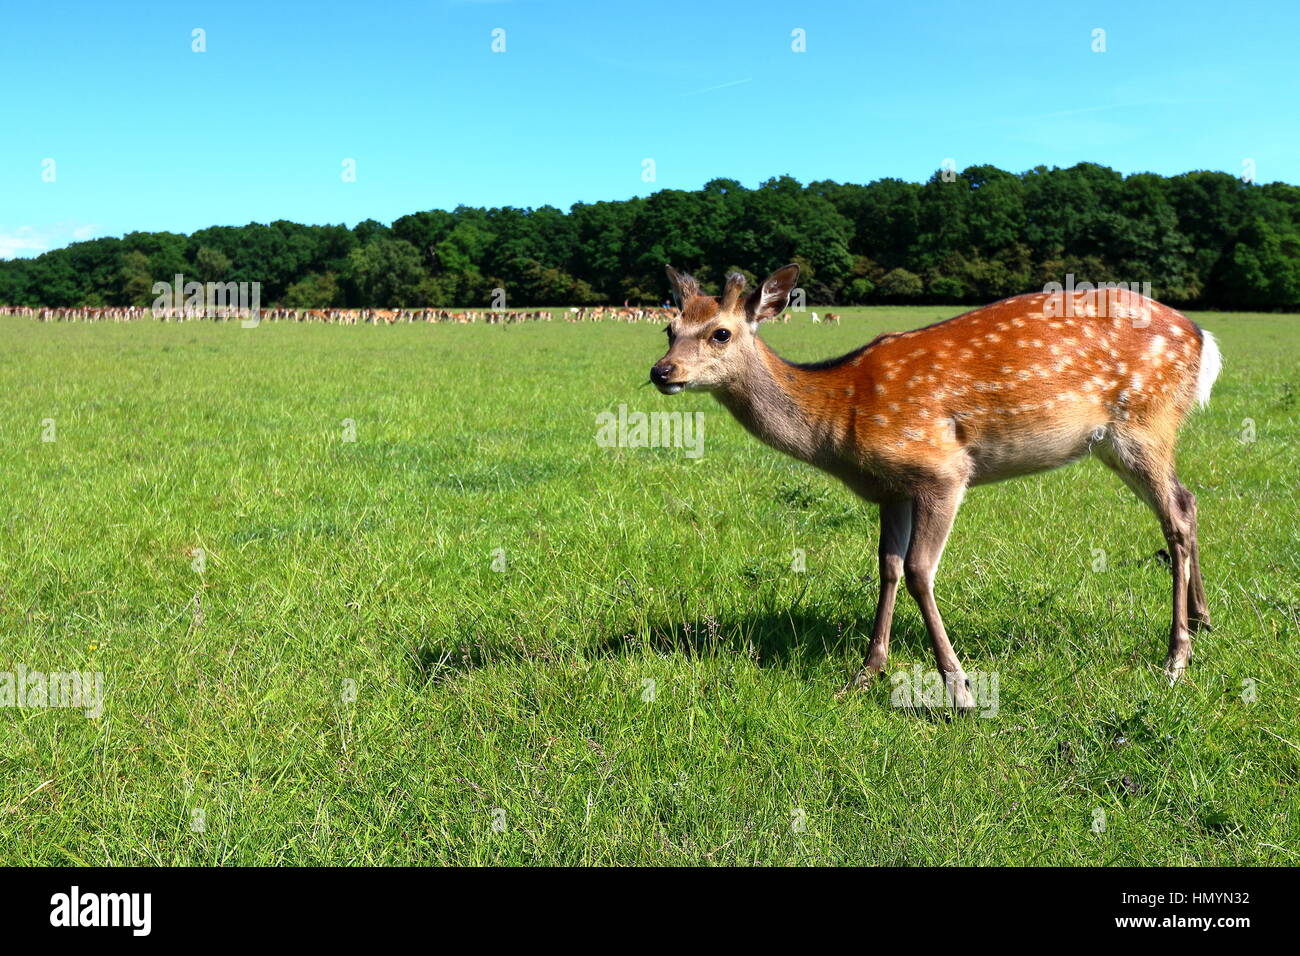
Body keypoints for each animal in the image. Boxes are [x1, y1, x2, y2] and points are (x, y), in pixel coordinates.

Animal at [655, 265, 1222, 707]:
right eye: (668, 327)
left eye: (721, 333)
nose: (662, 371)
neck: (838, 421)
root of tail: (1203, 339)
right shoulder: (890, 489)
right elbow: (887, 568)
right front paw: (865, 674)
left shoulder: (941, 470)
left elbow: (919, 570)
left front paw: (959, 688)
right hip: (1129, 438)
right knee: (1189, 500)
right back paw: (1204, 621)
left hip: (1144, 423)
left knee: (1174, 515)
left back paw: (1175, 658)